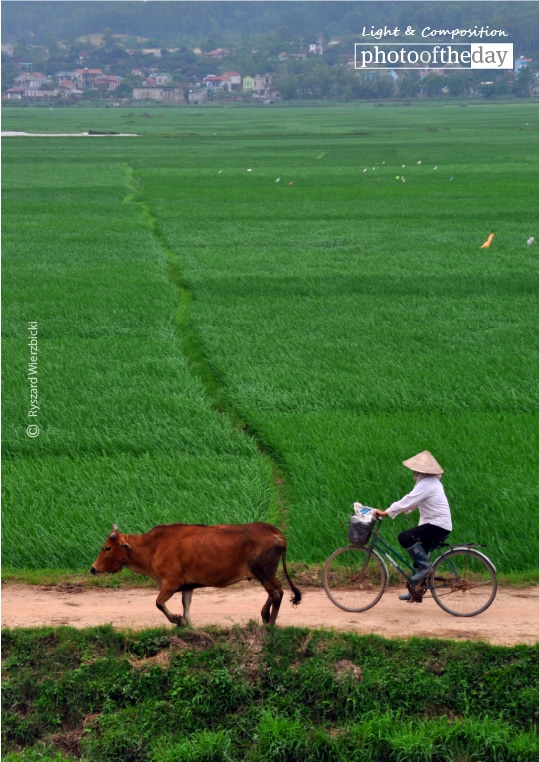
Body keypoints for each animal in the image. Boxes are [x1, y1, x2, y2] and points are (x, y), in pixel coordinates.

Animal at [90, 524, 302, 624]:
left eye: (107, 548)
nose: (93, 568)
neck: (152, 547)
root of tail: (274, 530)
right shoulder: (187, 585)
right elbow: (186, 604)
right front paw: (185, 621)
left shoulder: (171, 582)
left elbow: (159, 603)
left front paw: (176, 620)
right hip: (265, 574)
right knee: (275, 593)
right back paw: (265, 615)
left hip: (264, 573)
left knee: (277, 593)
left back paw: (271, 622)